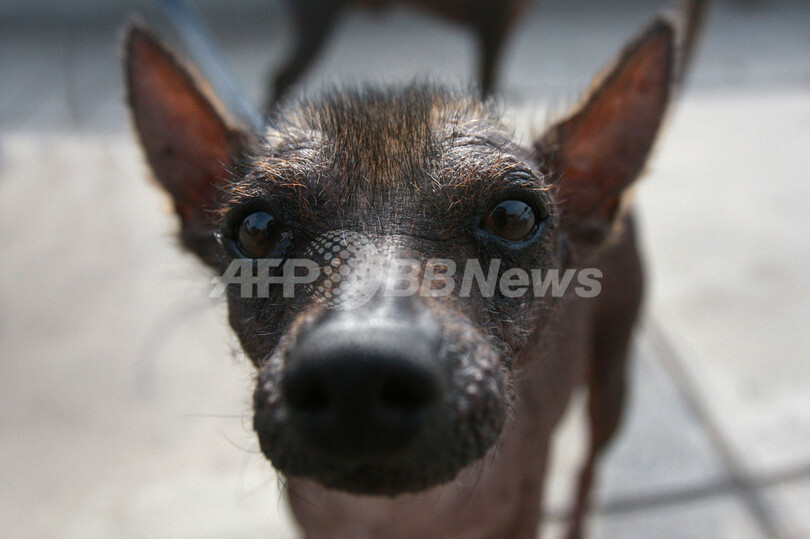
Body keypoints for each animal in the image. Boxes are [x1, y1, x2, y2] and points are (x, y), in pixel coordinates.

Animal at [124, 4, 700, 536]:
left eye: (514, 217)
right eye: (256, 229)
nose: (357, 370)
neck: (403, 517)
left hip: (612, 386)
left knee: (588, 468)